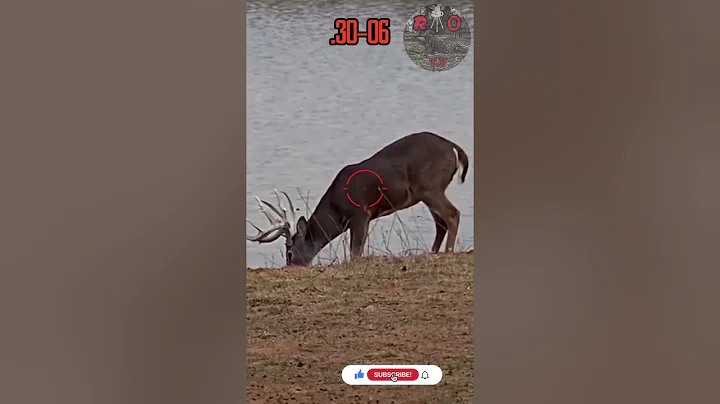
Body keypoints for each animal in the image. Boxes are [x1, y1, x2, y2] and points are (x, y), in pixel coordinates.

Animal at [246, 131, 470, 267]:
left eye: (290, 253)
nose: (290, 266)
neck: (336, 209)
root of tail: (454, 148)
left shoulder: (361, 213)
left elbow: (355, 253)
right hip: (427, 192)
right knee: (440, 222)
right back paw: (433, 252)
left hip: (430, 186)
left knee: (452, 214)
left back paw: (448, 252)